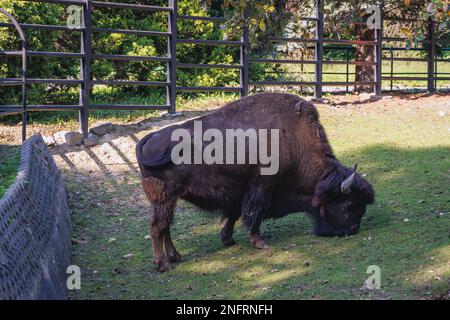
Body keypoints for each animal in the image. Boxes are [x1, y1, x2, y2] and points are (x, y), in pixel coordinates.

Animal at [135, 92, 374, 270]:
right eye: (349, 203)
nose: (353, 229)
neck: (293, 139)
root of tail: (148, 139)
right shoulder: (262, 187)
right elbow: (255, 214)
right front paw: (260, 242)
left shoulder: (240, 193)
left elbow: (234, 215)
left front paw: (228, 239)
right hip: (165, 196)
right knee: (157, 226)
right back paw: (163, 264)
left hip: (170, 199)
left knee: (165, 226)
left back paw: (175, 256)